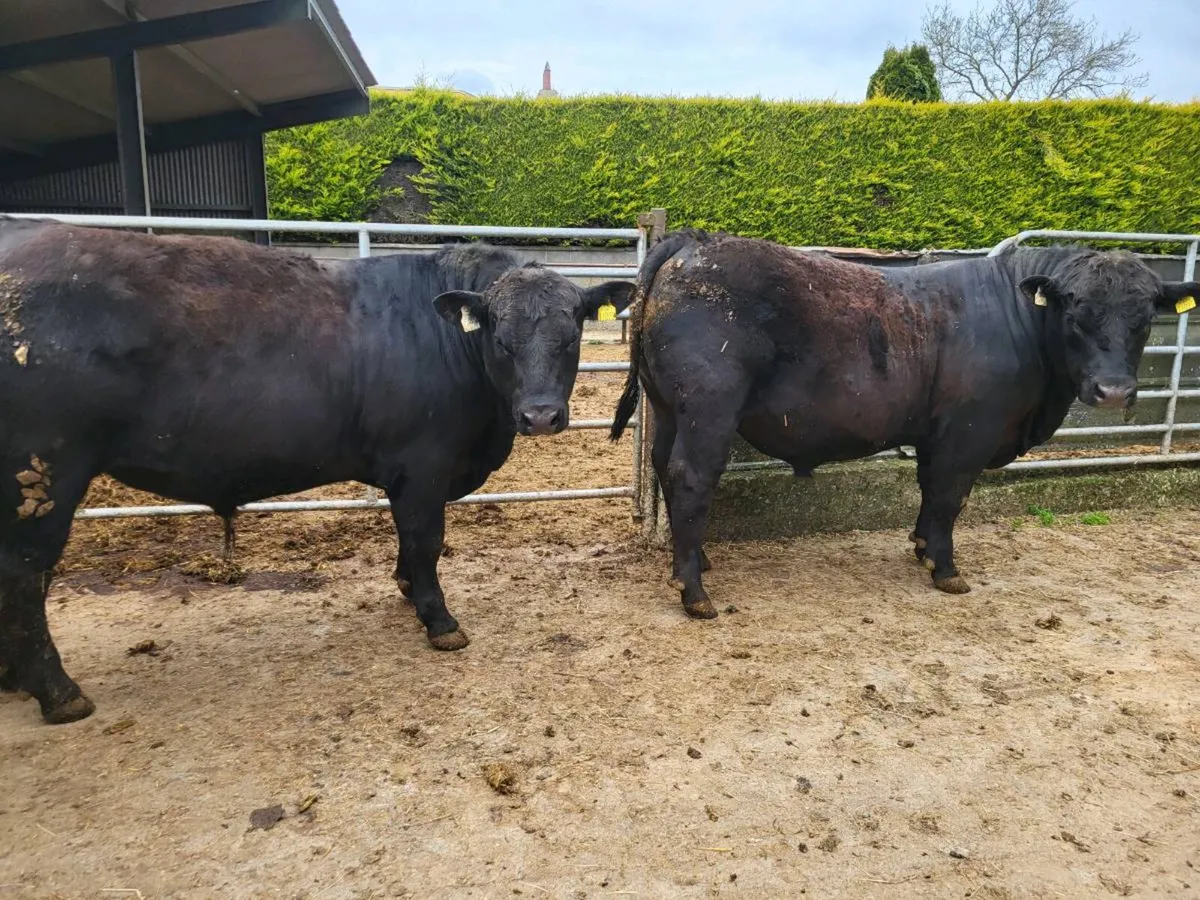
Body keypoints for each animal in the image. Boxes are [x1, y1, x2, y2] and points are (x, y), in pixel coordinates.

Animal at [0, 218, 634, 724]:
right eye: (501, 337)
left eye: (572, 333)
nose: (541, 415)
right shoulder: (424, 466)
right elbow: (426, 540)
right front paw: (439, 620)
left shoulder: (408, 476)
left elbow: (408, 541)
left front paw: (407, 590)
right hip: (42, 476)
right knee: (25, 574)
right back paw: (58, 693)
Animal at [610, 229, 1199, 619]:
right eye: (1075, 315)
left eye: (1145, 320)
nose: (1113, 391)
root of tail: (693, 242)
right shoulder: (969, 433)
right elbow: (950, 496)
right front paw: (946, 569)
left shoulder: (939, 434)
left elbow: (928, 489)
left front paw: (920, 547)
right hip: (708, 409)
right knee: (690, 477)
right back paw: (694, 593)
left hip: (669, 407)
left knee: (663, 466)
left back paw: (698, 561)